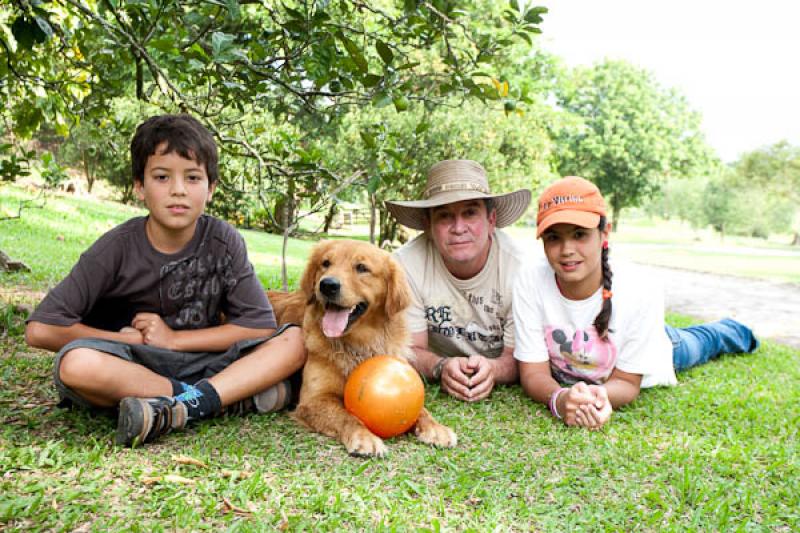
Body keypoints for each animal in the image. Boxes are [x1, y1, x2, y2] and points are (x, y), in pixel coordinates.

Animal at [268, 239, 456, 456]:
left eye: (361, 268)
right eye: (325, 263)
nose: (327, 285)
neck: (359, 344)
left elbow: (422, 409)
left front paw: (436, 428)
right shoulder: (314, 399)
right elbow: (346, 416)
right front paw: (364, 436)